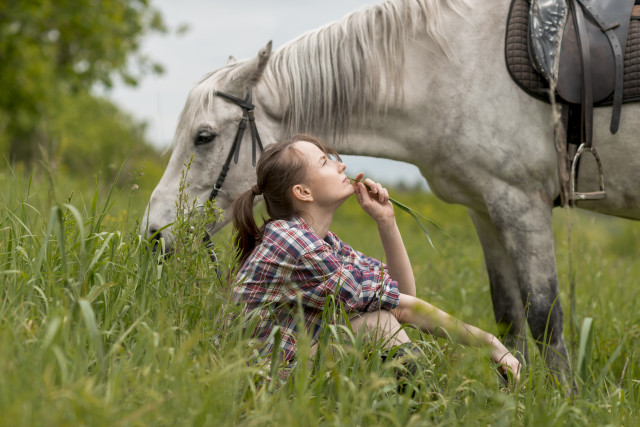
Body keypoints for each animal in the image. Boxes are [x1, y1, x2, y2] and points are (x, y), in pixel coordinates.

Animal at [142, 0, 640, 384]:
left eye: (204, 136)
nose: (154, 233)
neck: (450, 64)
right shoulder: (487, 207)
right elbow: (509, 314)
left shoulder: (521, 203)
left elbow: (544, 318)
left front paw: (558, 398)